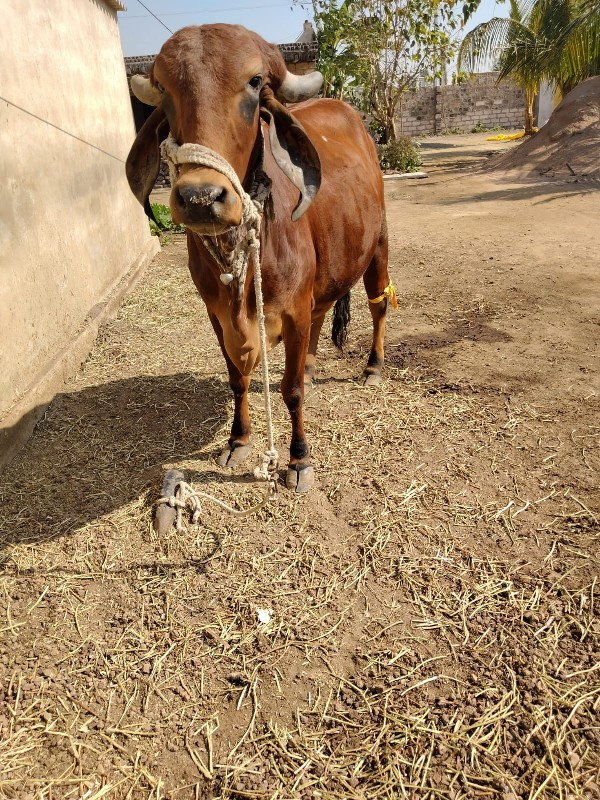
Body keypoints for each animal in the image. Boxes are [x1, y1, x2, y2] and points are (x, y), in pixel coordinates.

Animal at [126, 21, 394, 490]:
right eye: (165, 89)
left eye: (254, 82)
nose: (200, 197)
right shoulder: (215, 313)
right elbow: (237, 377)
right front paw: (239, 439)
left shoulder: (292, 309)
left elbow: (290, 391)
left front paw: (299, 459)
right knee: (322, 314)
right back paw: (310, 365)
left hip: (377, 245)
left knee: (378, 307)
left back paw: (373, 365)